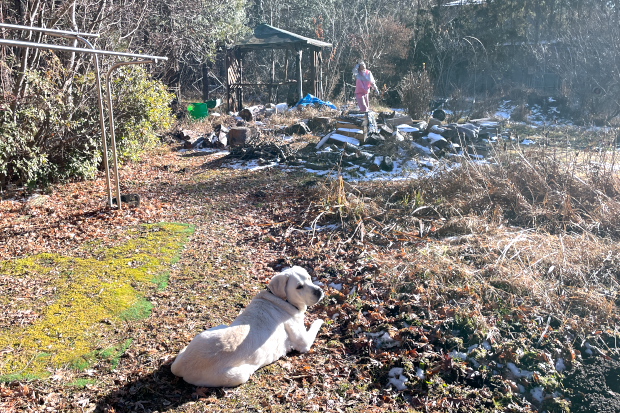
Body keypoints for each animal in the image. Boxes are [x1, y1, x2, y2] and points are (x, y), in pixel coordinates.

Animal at [171, 266, 324, 387]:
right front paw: (320, 320)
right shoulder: (304, 342)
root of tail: (181, 366)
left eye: (309, 278)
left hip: (215, 328)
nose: (319, 291)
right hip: (240, 374)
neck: (281, 299)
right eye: (299, 287)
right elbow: (315, 326)